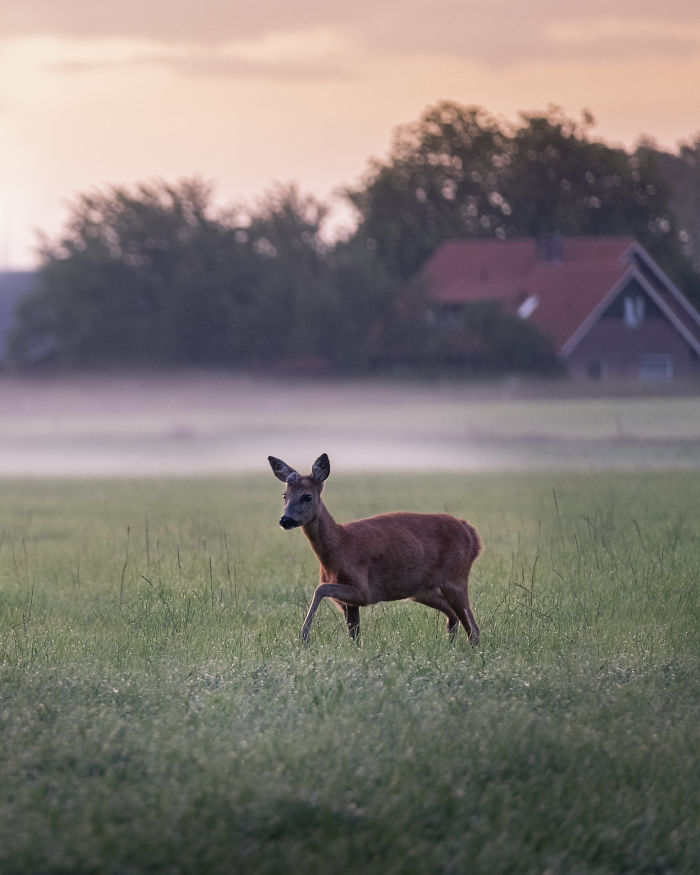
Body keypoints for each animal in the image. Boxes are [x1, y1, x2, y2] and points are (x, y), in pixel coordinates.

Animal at [268, 453, 481, 646]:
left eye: (307, 496)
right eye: (284, 496)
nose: (285, 520)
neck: (339, 546)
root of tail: (472, 534)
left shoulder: (364, 591)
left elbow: (320, 589)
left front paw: (304, 636)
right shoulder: (349, 603)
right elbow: (355, 637)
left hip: (455, 577)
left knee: (473, 628)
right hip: (423, 590)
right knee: (454, 616)